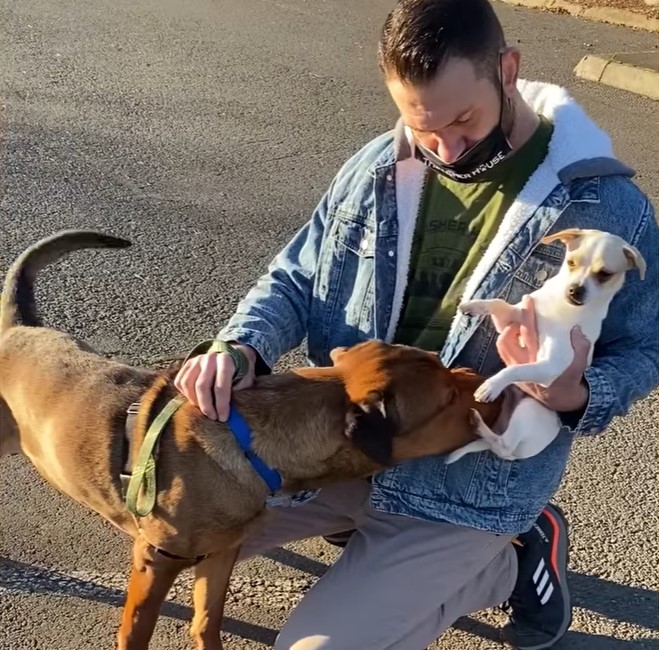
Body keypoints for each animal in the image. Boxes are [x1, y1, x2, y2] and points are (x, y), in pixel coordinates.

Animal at [0, 230, 500, 644]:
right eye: (448, 398)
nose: (486, 379)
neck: (249, 443)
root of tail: (18, 327)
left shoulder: (222, 553)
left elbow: (207, 620)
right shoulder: (155, 561)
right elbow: (138, 631)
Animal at [446, 228, 648, 460]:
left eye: (604, 274)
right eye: (571, 262)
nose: (575, 290)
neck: (563, 309)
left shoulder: (550, 366)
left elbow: (515, 369)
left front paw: (492, 385)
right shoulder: (512, 320)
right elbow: (499, 303)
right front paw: (472, 306)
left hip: (528, 409)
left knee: (503, 445)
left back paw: (479, 424)